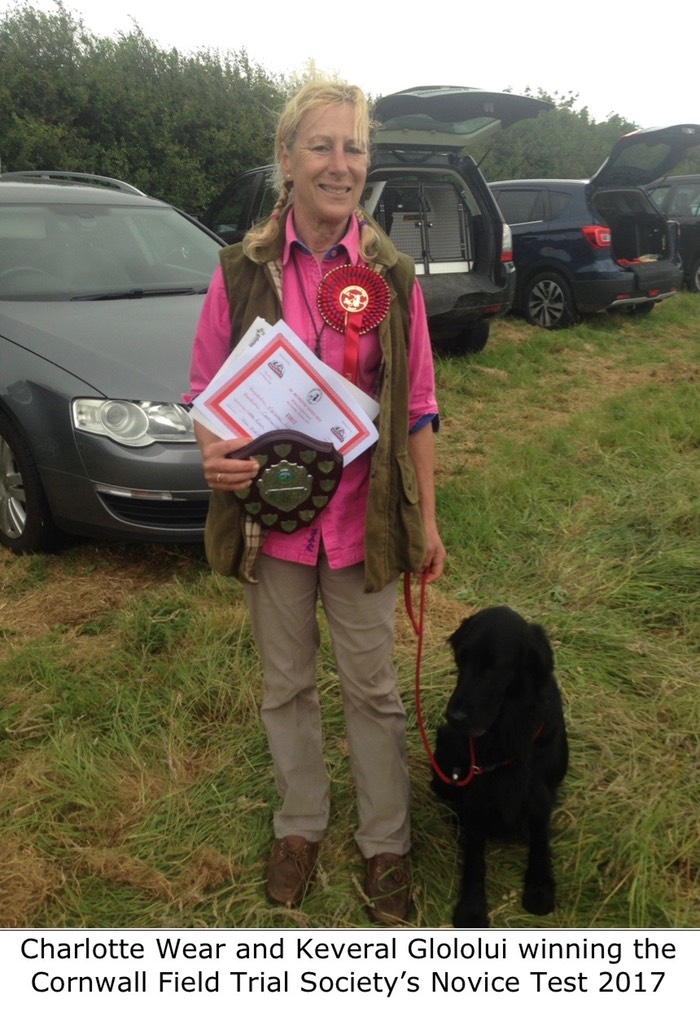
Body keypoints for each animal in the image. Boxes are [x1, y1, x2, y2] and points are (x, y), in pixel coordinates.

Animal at [432, 603, 570, 926]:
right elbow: (474, 854)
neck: (507, 730)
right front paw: (471, 907)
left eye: (493, 667)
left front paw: (540, 887)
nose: (454, 717)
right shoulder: (476, 792)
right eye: (461, 659)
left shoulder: (540, 790)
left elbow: (540, 840)